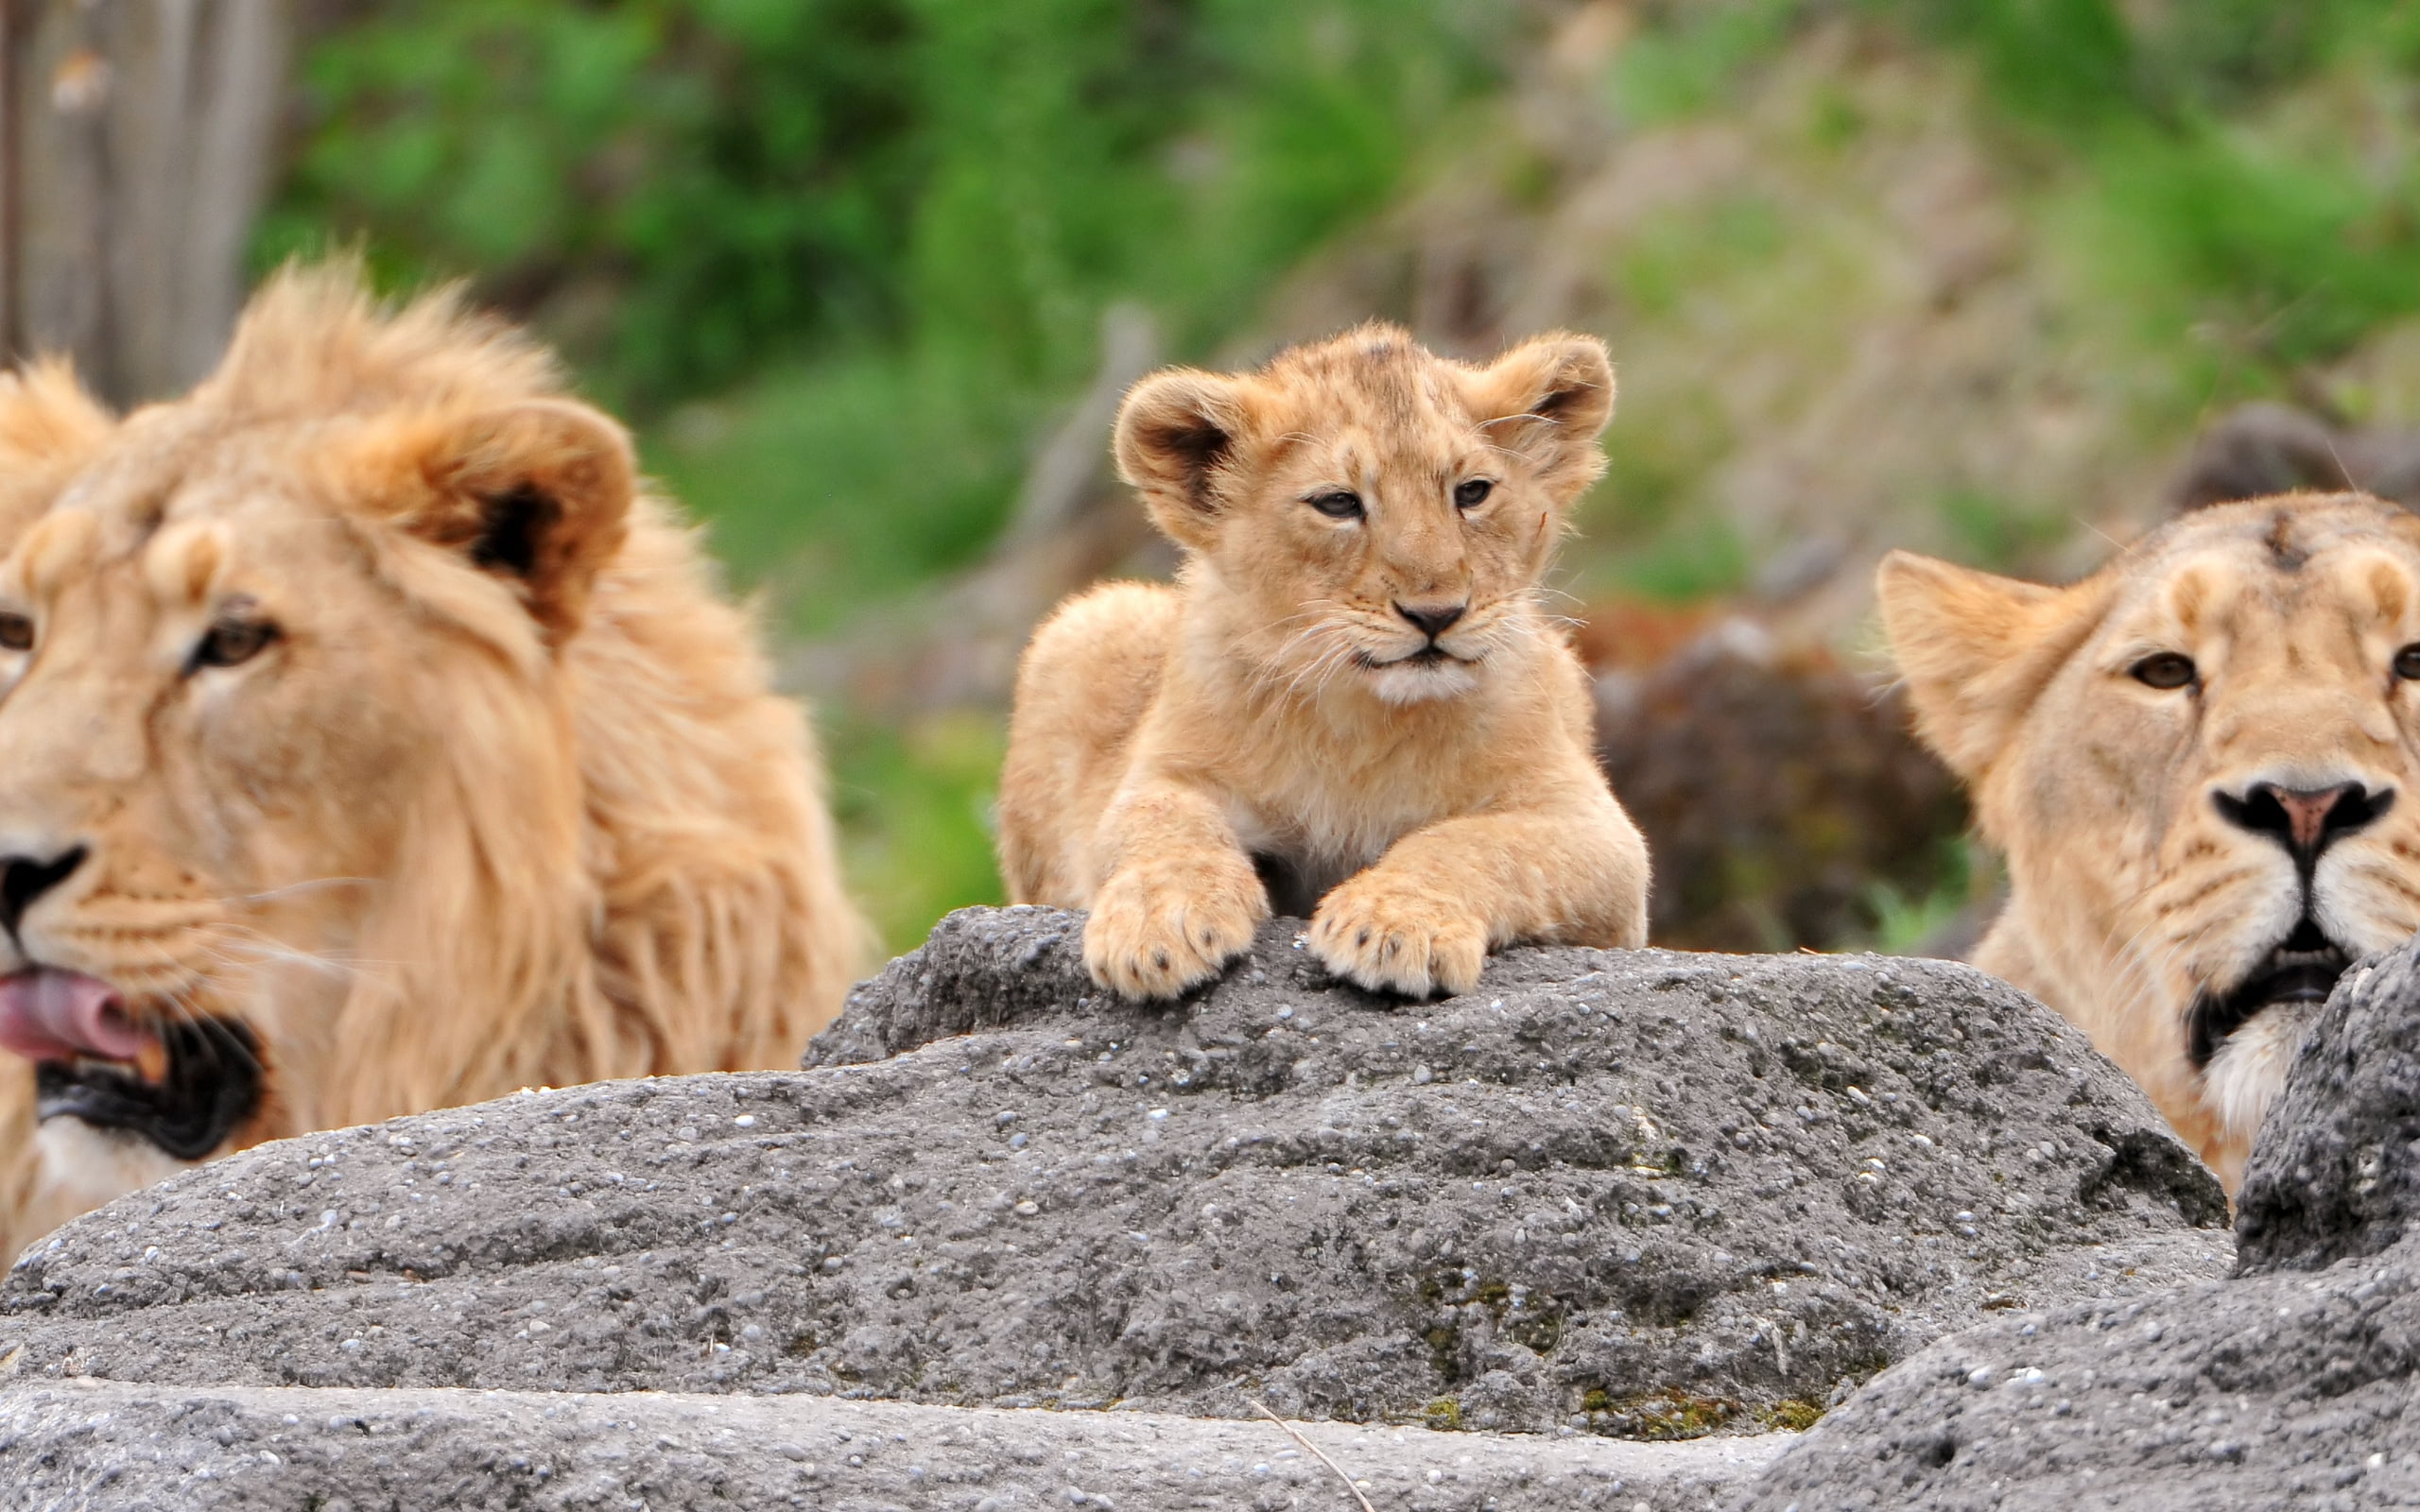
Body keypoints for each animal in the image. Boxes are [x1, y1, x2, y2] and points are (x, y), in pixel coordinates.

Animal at [996, 324, 1645, 996]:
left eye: (1472, 492)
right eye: (1338, 504)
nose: (1436, 614)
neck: (1360, 722)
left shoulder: (1598, 836)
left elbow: (1470, 842)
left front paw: (1393, 925)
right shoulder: (1166, 773)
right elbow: (1163, 827)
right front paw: (1161, 925)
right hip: (1087, 621)